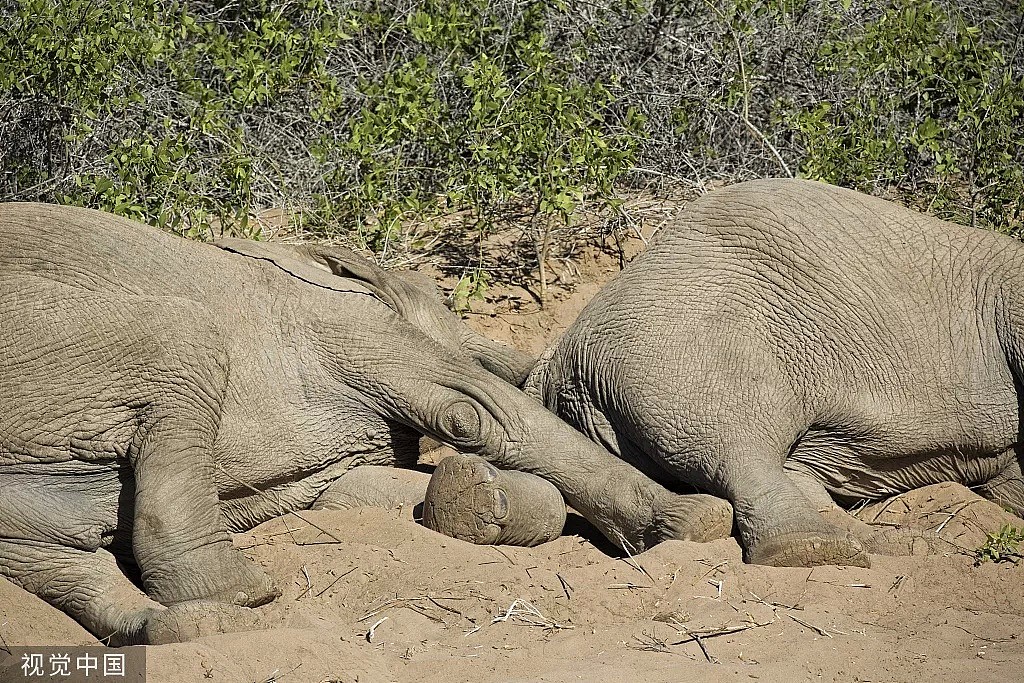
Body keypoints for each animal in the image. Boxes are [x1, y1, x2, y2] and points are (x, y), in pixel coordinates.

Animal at [0, 202, 737, 647]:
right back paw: (239, 592)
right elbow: (479, 413)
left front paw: (476, 500)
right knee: (184, 341)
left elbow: (352, 494)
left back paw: (186, 626)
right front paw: (694, 521)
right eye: (433, 300)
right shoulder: (351, 329)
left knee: (57, 558)